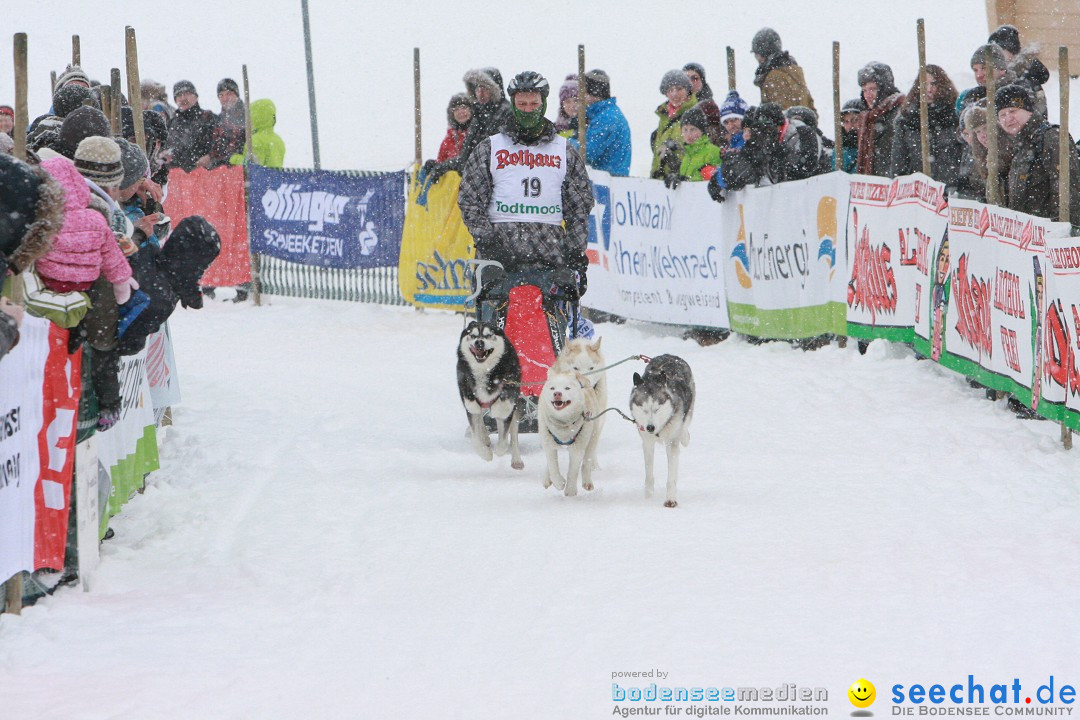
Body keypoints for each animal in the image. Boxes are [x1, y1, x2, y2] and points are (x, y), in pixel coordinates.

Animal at [455, 321, 522, 470]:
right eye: (473, 335)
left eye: (489, 335)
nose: (479, 342)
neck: (484, 373)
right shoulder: (471, 406)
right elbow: (475, 438)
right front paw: (486, 454)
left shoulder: (505, 409)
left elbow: (504, 441)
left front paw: (498, 451)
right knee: (480, 420)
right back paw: (485, 438)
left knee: (514, 436)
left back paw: (516, 460)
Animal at [630, 354, 695, 507]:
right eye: (644, 409)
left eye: (657, 408)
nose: (650, 427)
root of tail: (670, 355)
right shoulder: (647, 443)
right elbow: (649, 474)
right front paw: (648, 498)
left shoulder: (671, 443)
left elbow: (671, 477)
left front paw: (670, 499)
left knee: (684, 431)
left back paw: (685, 437)